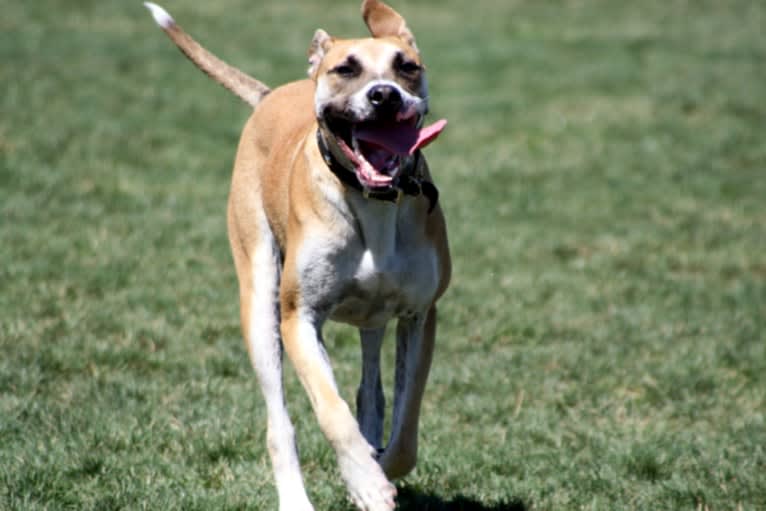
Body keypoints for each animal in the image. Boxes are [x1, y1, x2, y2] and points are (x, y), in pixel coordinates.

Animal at [145, 2, 452, 510]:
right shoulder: (299, 318)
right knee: (279, 423)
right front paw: (365, 480)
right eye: (346, 69)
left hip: (374, 316)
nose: (384, 96)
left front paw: (379, 471)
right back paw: (297, 496)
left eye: (406, 66)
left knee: (371, 387)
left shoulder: (420, 314)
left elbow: (407, 422)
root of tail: (270, 96)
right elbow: (331, 412)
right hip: (259, 300)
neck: (370, 199)